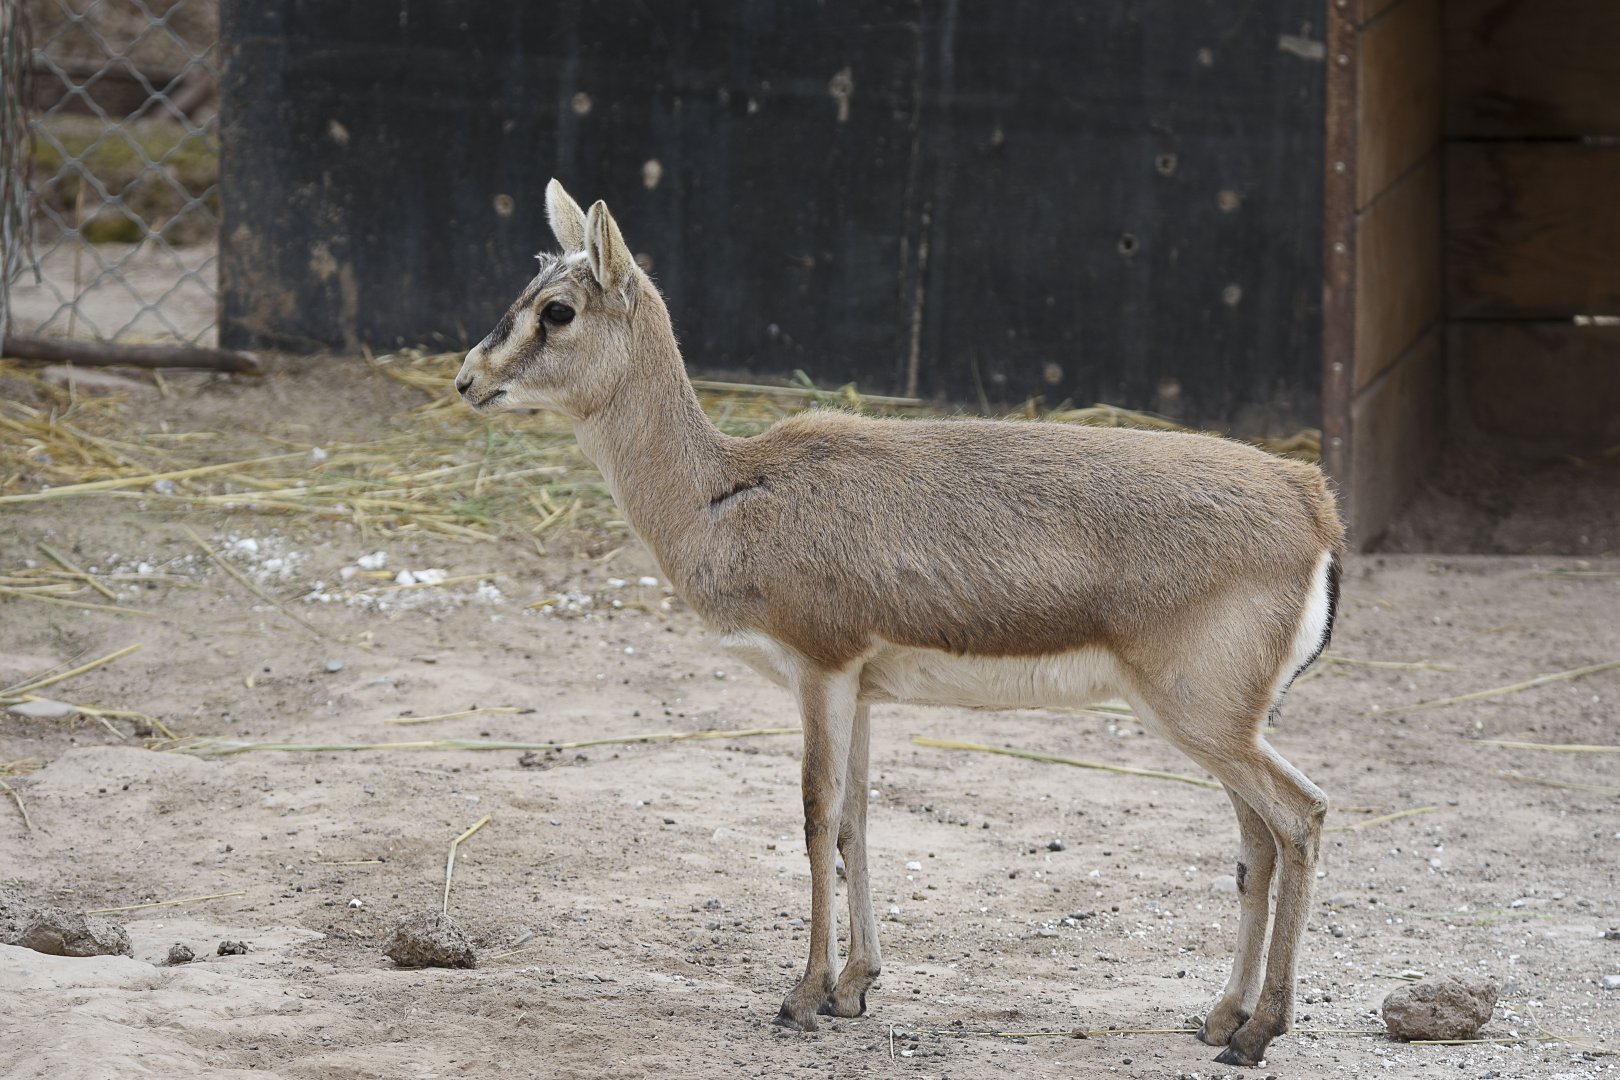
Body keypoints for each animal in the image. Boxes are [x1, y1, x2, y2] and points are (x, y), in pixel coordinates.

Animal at [456, 181, 1344, 1068]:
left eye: (558, 310)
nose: (468, 379)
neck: (724, 495)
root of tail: (1311, 500)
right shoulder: (864, 691)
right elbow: (857, 821)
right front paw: (854, 987)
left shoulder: (821, 670)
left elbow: (816, 816)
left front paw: (802, 996)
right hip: (1217, 727)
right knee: (1257, 843)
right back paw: (1221, 1018)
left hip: (1201, 718)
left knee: (1300, 816)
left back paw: (1259, 1032)